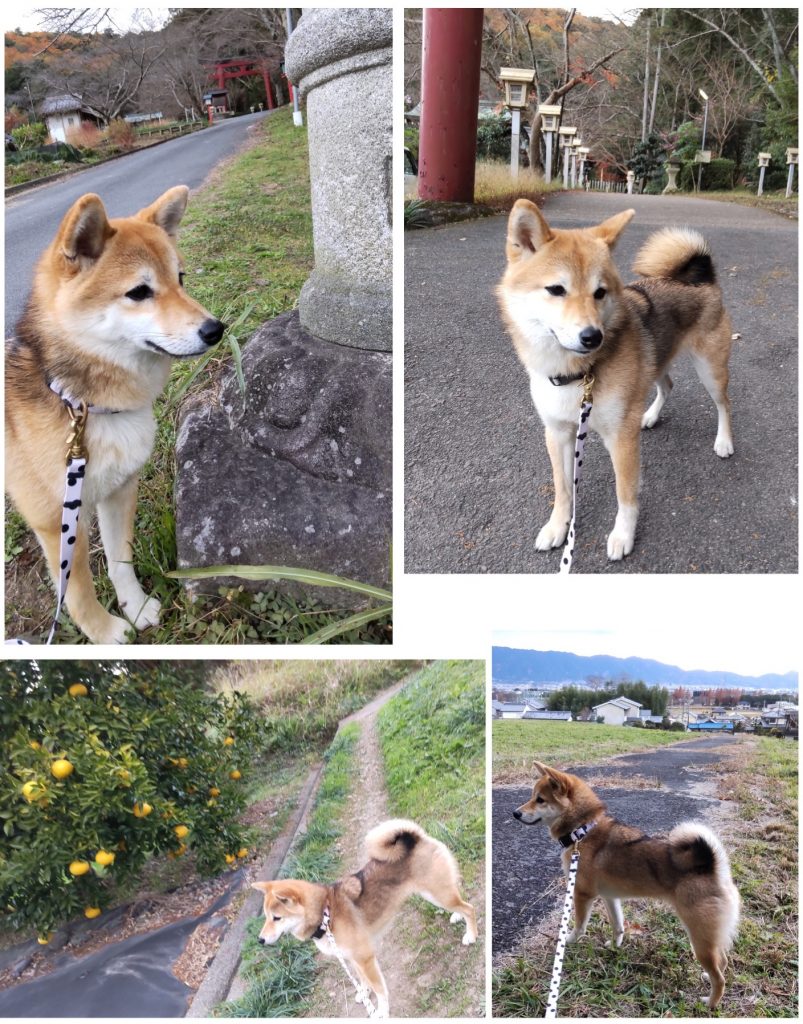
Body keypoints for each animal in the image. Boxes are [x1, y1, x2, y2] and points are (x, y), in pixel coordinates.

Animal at [6, 186, 225, 638]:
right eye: (139, 292)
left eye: (180, 278)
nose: (215, 330)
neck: (80, 403)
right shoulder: (57, 521)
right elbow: (77, 592)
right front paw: (106, 633)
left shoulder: (119, 489)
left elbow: (120, 561)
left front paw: (135, 608)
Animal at [250, 823, 477, 1015]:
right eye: (266, 917)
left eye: (277, 918)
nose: (260, 940)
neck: (326, 914)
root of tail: (416, 838)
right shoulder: (351, 958)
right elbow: (361, 980)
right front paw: (363, 993)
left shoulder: (365, 958)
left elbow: (379, 989)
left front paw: (382, 1011)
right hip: (436, 893)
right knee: (460, 897)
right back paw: (457, 916)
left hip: (437, 894)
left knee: (470, 908)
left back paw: (471, 935)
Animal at [497, 198, 737, 561]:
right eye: (556, 289)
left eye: (600, 292)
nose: (592, 336)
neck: (577, 374)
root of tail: (702, 276)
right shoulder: (557, 432)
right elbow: (563, 488)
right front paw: (557, 526)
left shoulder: (621, 438)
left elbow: (625, 493)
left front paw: (623, 535)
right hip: (655, 363)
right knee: (667, 385)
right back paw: (650, 416)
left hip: (710, 369)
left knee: (723, 404)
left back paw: (724, 441)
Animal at [514, 761, 741, 1007]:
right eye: (532, 796)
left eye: (540, 799)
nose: (515, 813)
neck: (582, 831)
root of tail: (712, 867)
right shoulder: (610, 897)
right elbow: (618, 926)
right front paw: (615, 946)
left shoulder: (582, 894)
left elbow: (580, 925)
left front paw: (569, 940)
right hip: (710, 938)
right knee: (723, 960)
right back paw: (706, 978)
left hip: (700, 937)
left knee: (720, 978)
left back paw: (710, 1002)